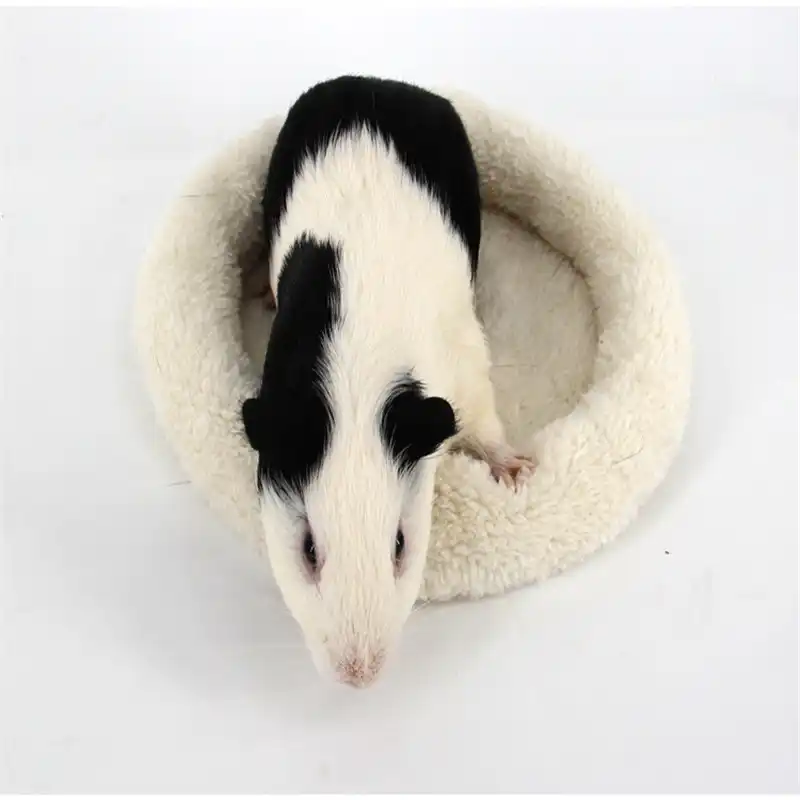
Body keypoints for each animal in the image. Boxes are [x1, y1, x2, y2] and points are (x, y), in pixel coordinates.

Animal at [241, 76, 534, 688]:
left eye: (400, 544)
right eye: (308, 548)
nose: (359, 675)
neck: (357, 376)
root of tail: (371, 81)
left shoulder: (466, 364)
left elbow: (485, 422)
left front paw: (518, 473)